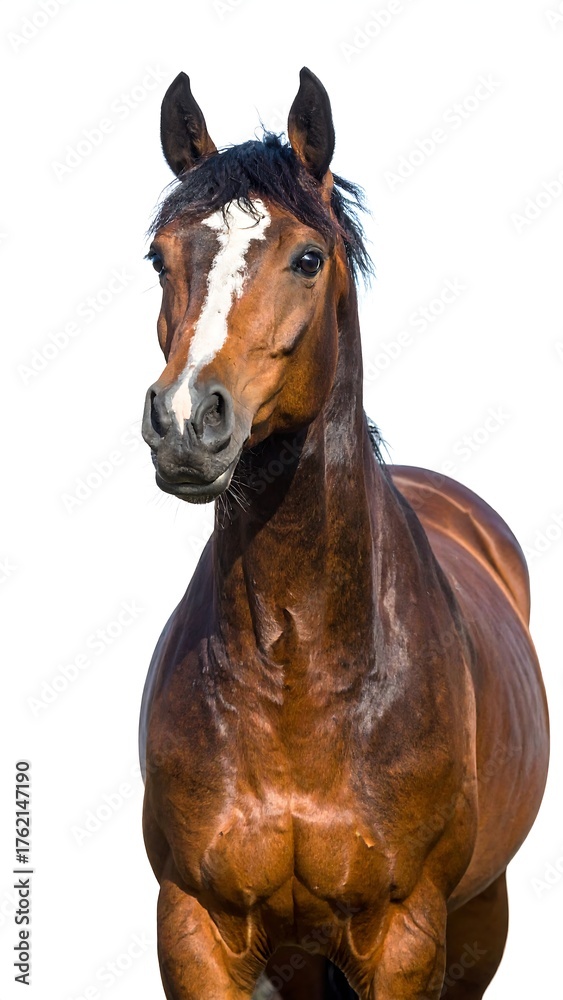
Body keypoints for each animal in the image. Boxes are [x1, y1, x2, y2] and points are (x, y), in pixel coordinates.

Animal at [139, 67, 549, 1000]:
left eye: (307, 257)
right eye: (160, 257)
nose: (185, 423)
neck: (299, 671)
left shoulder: (404, 933)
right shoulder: (195, 926)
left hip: (480, 919)